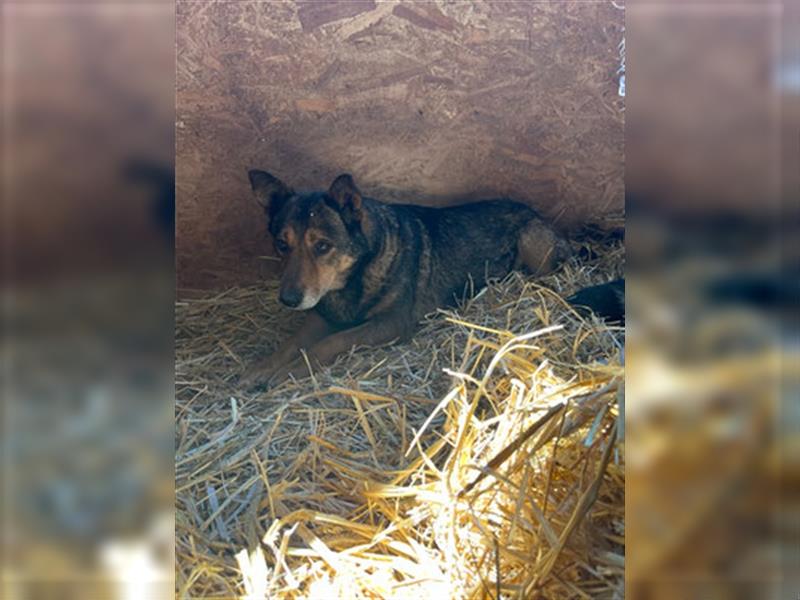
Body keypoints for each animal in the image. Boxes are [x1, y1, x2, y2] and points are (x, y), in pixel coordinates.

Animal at [241, 171, 572, 386]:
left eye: (322, 246)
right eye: (282, 244)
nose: (288, 300)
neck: (357, 275)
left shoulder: (391, 324)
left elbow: (331, 343)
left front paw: (288, 371)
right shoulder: (321, 316)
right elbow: (293, 341)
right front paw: (263, 367)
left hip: (531, 240)